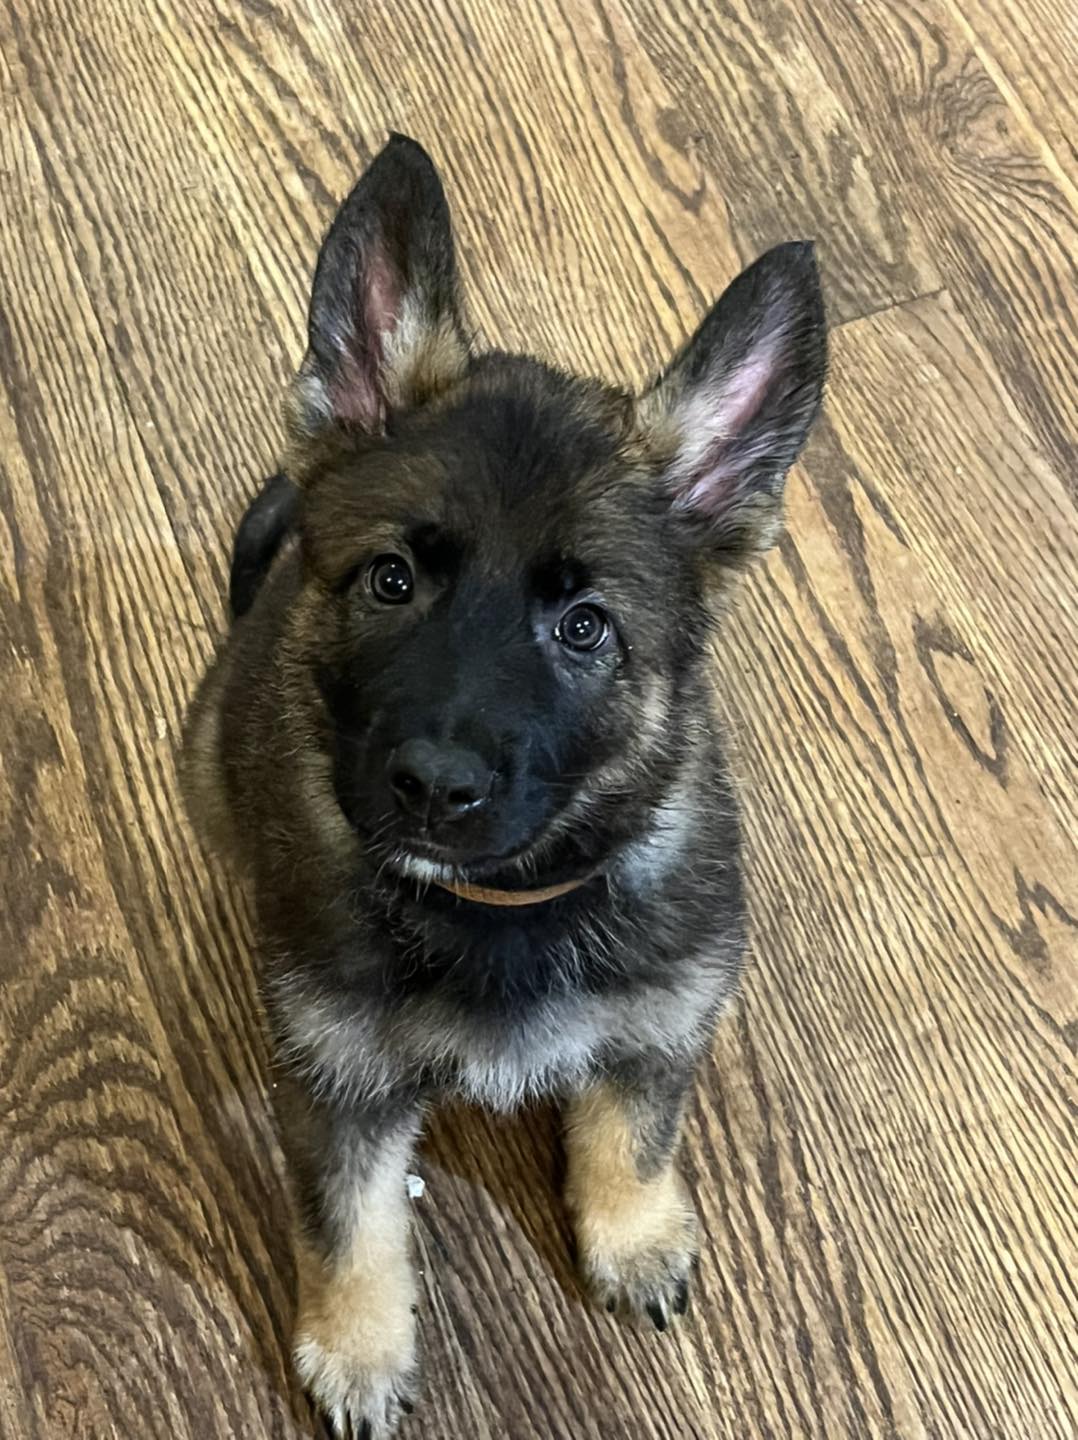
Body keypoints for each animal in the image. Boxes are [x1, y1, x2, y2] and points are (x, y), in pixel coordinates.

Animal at [182, 132, 826, 1438]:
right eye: (390, 581)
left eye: (585, 629)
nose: (433, 787)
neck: (501, 906)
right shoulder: (336, 1087)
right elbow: (349, 1224)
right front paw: (358, 1346)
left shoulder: (663, 1022)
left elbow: (634, 1133)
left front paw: (636, 1233)